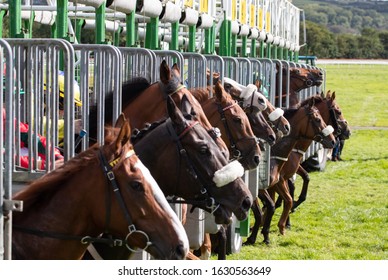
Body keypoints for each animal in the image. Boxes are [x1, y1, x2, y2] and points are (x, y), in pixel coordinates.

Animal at [246, 98, 336, 245]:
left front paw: (278, 227)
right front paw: (259, 233)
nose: (333, 141)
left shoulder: (278, 181)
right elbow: (271, 205)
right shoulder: (267, 184)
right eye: (317, 119)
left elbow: (286, 199)